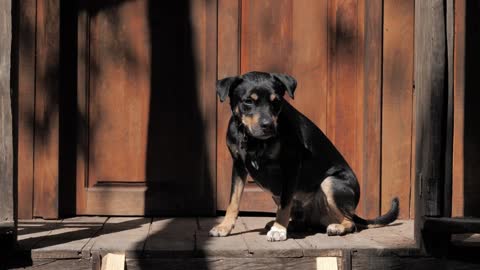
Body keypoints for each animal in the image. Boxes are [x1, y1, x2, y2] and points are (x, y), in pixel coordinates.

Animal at [208, 71, 400, 240]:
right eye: (248, 101)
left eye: (276, 101)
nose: (268, 125)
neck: (254, 141)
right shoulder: (238, 165)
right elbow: (233, 200)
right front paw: (224, 227)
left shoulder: (290, 165)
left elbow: (285, 204)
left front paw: (279, 230)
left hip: (330, 182)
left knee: (350, 222)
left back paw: (336, 227)